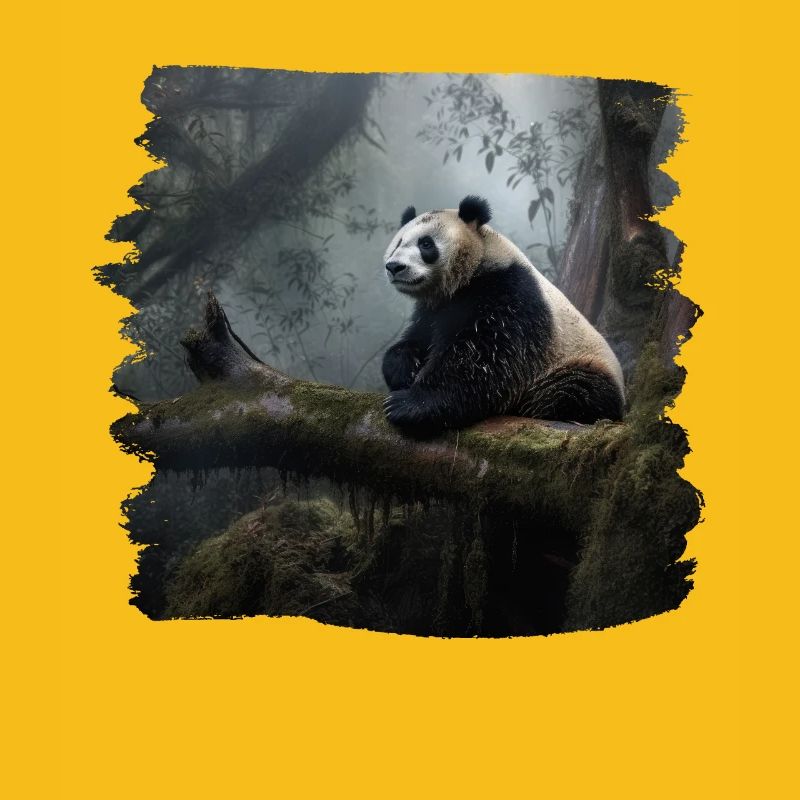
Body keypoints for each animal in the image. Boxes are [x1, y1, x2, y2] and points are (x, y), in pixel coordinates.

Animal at [381, 195, 624, 435]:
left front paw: (407, 404)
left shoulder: (508, 291)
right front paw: (404, 368)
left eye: (426, 244)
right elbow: (419, 336)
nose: (394, 266)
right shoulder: (434, 309)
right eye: (398, 243)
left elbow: (483, 360)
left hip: (574, 364)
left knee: (574, 392)